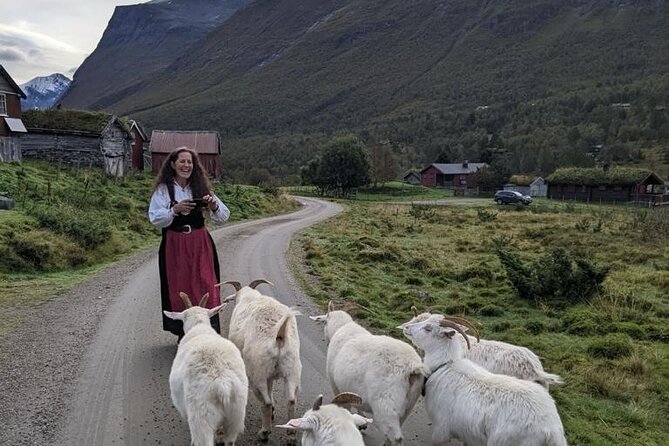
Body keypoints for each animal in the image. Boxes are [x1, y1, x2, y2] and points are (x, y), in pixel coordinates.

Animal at [220, 278, 302, 442]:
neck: (250, 297)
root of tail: (279, 336)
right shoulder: (270, 375)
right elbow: (271, 390)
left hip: (257, 373)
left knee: (266, 402)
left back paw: (264, 432)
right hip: (292, 369)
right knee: (291, 400)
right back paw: (291, 436)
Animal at [310, 302, 422, 444]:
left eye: (324, 322)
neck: (341, 327)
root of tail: (412, 368)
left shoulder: (336, 386)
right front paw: (362, 422)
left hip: (386, 407)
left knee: (396, 438)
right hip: (408, 406)